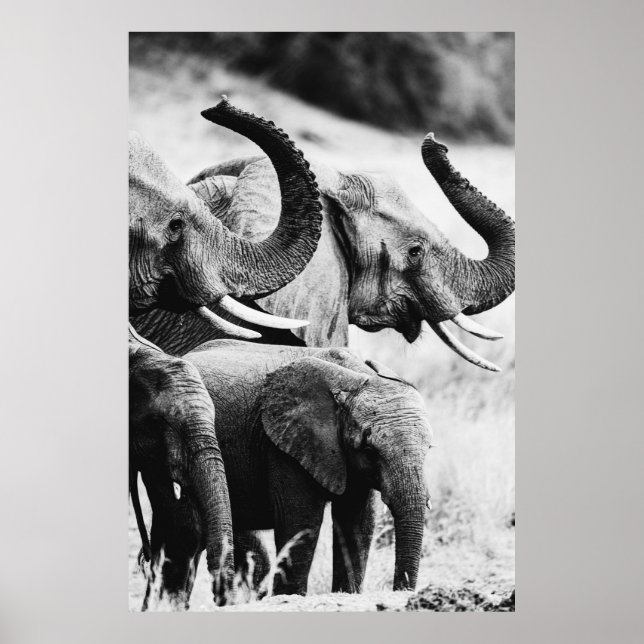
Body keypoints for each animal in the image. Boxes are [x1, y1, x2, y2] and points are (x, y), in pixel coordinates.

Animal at [178, 340, 434, 596]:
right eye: (370, 451)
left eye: (429, 449)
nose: (401, 590)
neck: (355, 378)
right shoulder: (285, 446)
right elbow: (301, 523)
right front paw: (289, 596)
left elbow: (357, 523)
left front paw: (346, 593)